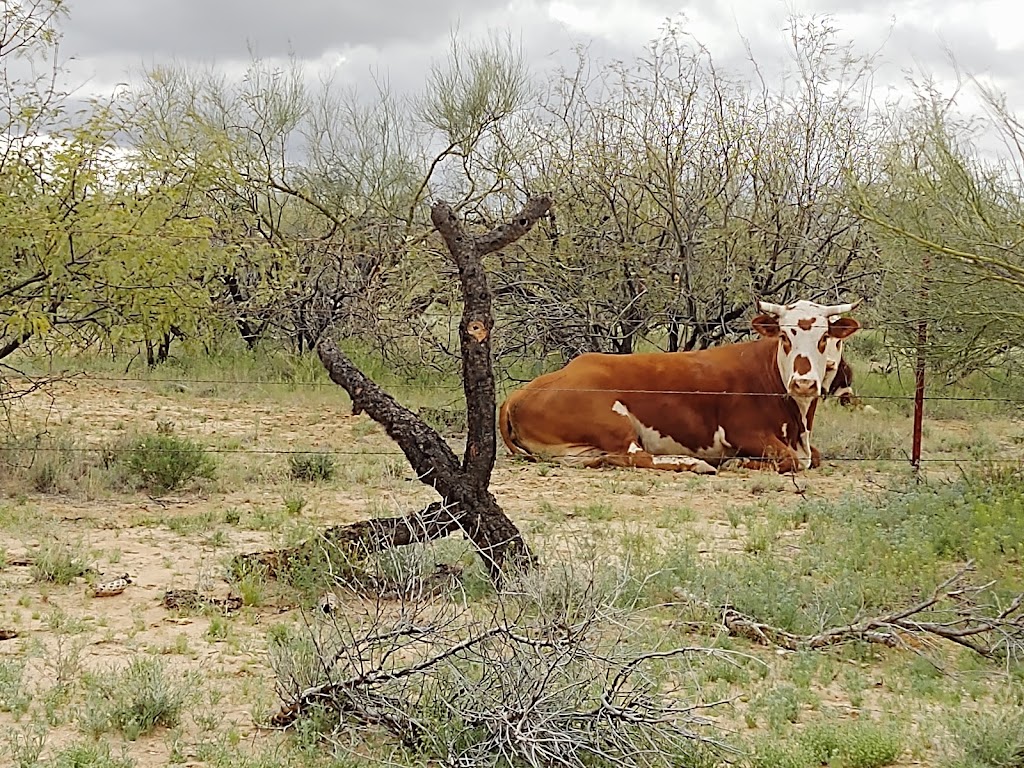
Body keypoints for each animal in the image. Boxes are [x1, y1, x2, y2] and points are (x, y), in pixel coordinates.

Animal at [499, 301, 860, 475]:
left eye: (825, 338)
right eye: (785, 336)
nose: (804, 382)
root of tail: (519, 393)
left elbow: (813, 457)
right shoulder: (743, 432)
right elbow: (792, 460)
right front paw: (736, 463)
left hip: (577, 450)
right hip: (613, 420)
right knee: (635, 456)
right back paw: (696, 464)